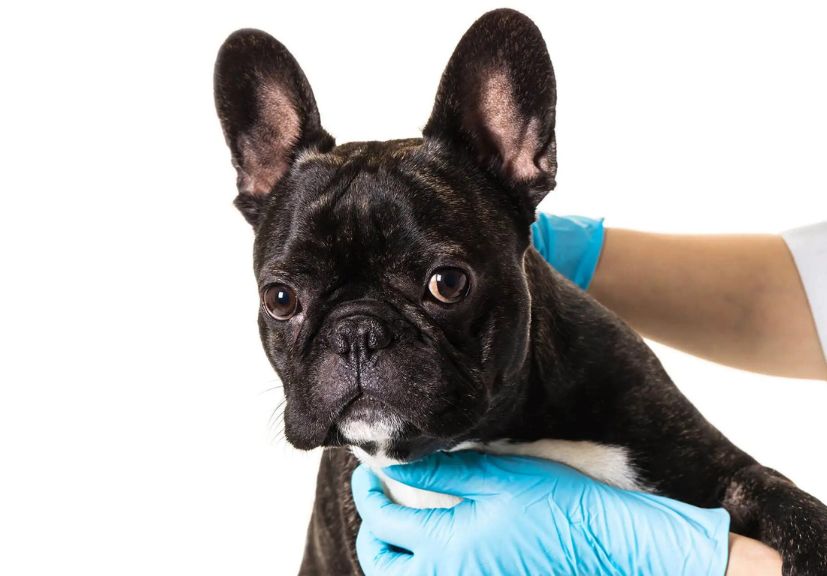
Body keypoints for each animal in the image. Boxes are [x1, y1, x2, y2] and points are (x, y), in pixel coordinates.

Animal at [215, 10, 827, 576]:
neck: (494, 440)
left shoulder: (721, 471)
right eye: (280, 299)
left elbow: (783, 497)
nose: (356, 332)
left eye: (447, 283)